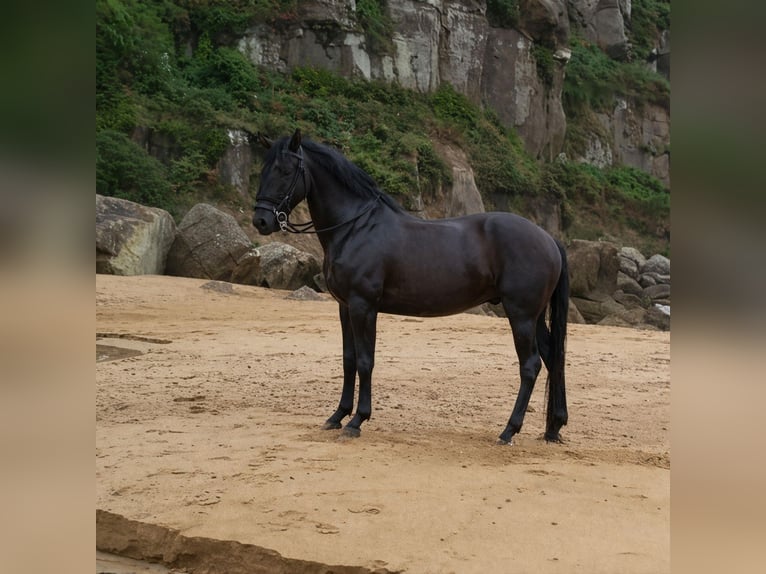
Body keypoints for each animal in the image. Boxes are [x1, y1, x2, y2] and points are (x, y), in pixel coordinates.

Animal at [253, 129, 569, 444]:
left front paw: (357, 420)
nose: (261, 220)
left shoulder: (363, 306)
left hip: (521, 315)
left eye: (285, 171)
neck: (356, 229)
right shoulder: (345, 307)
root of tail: (549, 239)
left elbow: (366, 361)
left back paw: (509, 430)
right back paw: (553, 428)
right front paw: (337, 415)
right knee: (553, 359)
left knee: (530, 365)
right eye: (263, 170)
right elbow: (349, 360)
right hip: (535, 317)